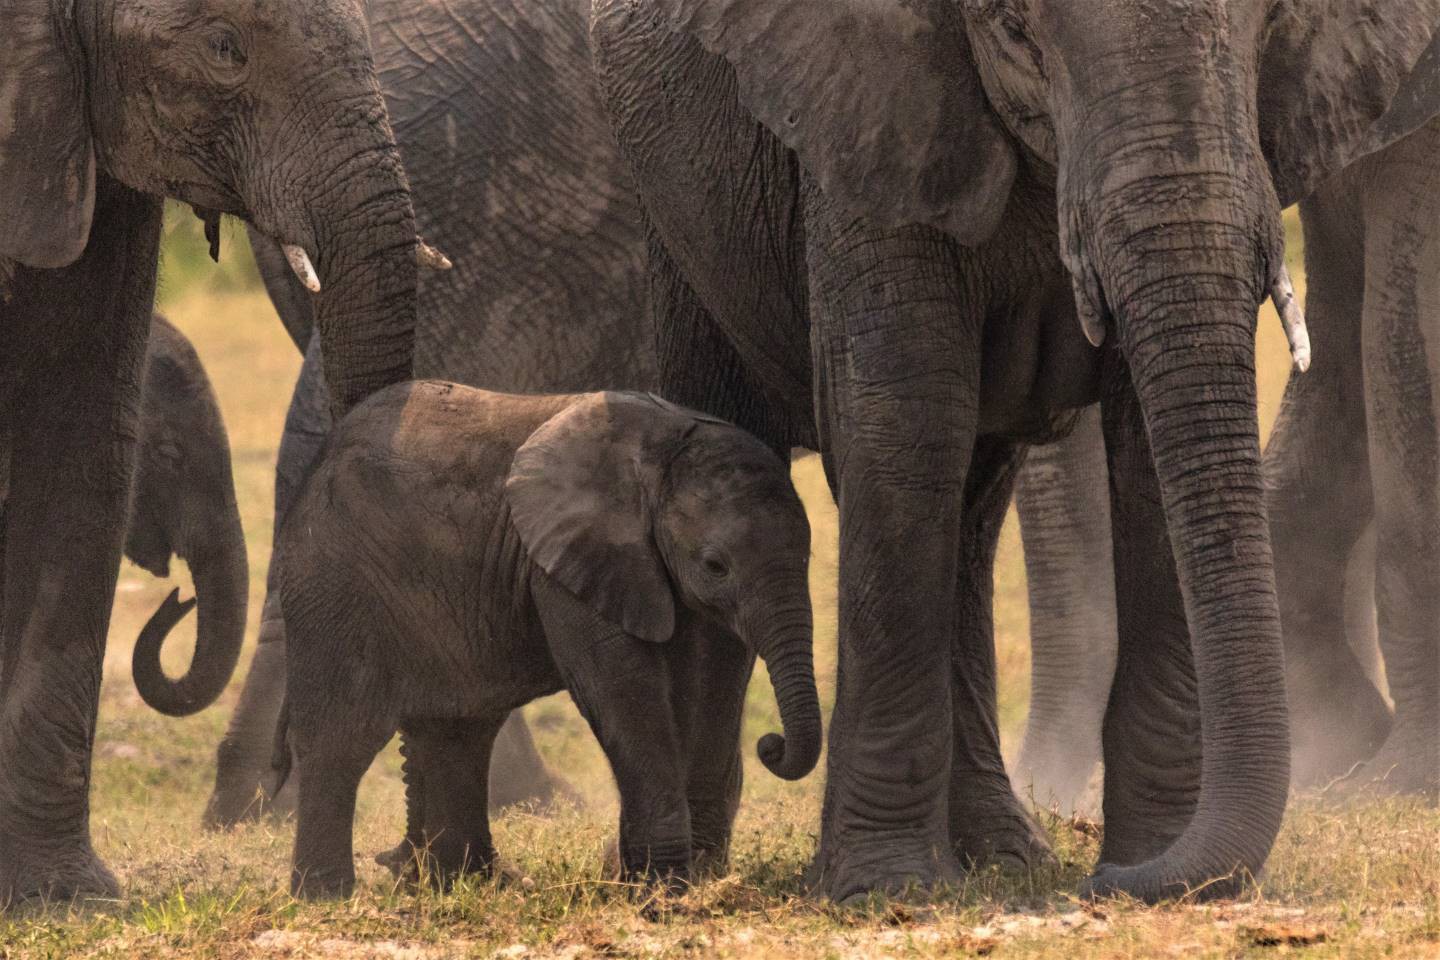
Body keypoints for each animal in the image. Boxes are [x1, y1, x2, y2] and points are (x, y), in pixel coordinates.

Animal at [282, 382, 823, 903]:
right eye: (715, 565)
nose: (771, 744)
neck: (665, 449)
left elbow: (708, 682)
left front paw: (666, 881)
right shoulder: (573, 560)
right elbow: (622, 688)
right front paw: (663, 891)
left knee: (459, 730)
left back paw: (469, 885)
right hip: (334, 580)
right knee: (344, 736)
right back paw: (325, 897)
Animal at [587, 0, 1440, 903]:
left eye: (1271, 22)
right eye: (1016, 32)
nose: (1102, 881)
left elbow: (1145, 451)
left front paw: (1154, 862)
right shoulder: (869, 120)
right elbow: (908, 419)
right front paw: (887, 890)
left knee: (972, 504)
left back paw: (1006, 856)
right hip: (675, 224)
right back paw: (683, 877)